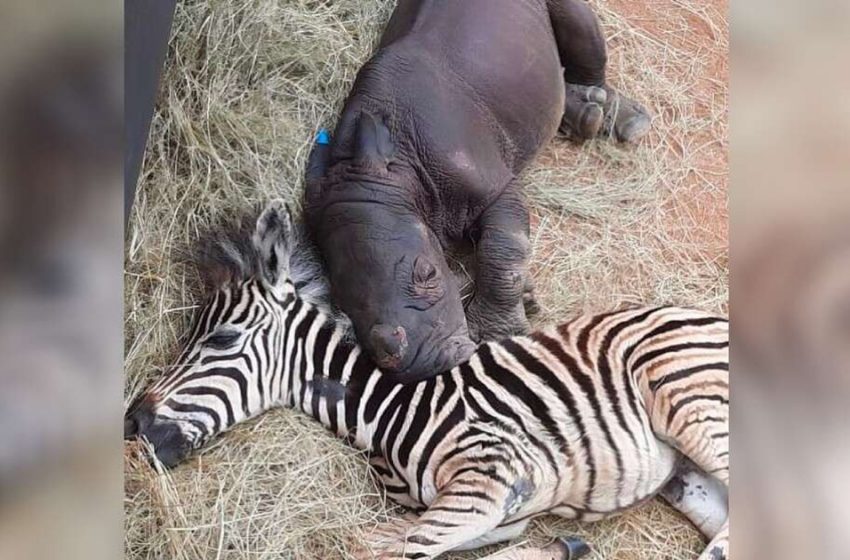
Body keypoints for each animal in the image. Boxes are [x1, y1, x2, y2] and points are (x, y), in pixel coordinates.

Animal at [122, 202, 724, 560]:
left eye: (221, 339)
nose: (132, 425)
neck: (389, 413)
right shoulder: (492, 514)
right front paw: (563, 548)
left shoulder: (490, 479)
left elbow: (387, 550)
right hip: (685, 478)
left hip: (688, 401)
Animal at [304, 0, 648, 380]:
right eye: (343, 307)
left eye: (428, 274)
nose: (424, 365)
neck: (397, 172)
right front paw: (525, 299)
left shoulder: (495, 188)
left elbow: (503, 251)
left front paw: (497, 333)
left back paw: (618, 119)